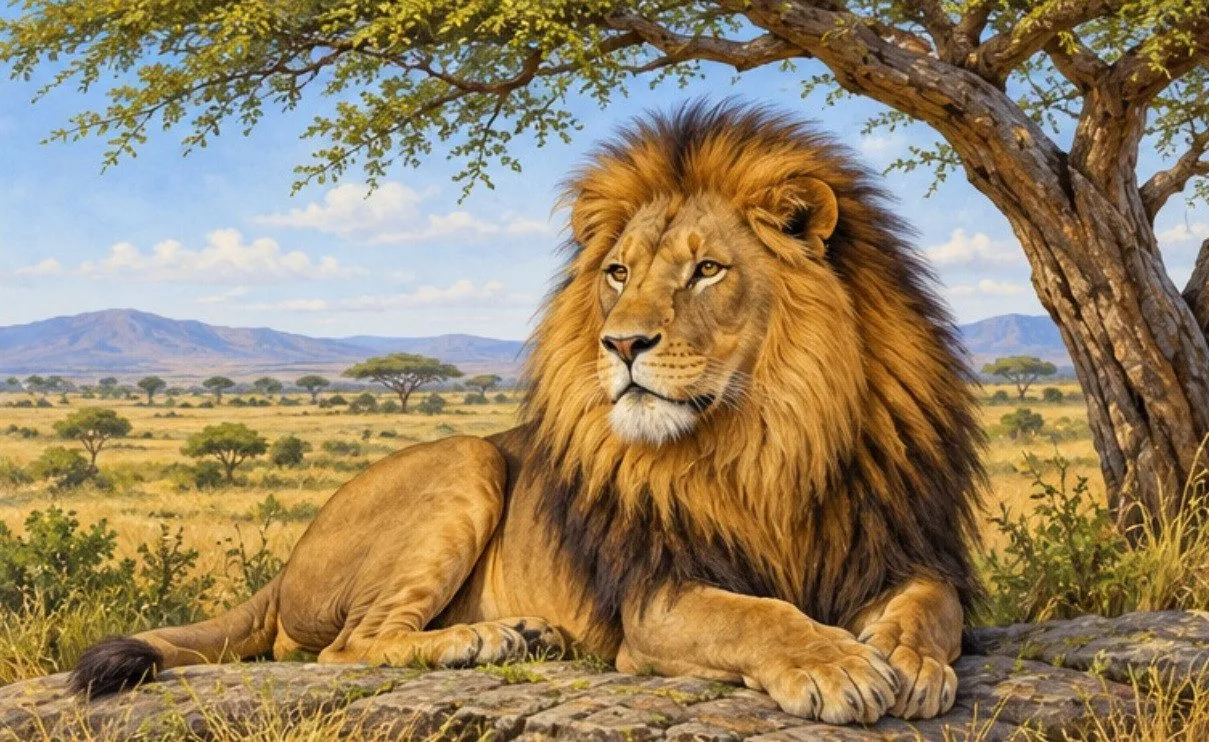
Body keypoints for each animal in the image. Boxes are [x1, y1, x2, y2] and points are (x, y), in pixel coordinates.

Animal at [71, 101, 984, 725]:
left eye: (708, 271)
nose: (622, 343)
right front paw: (835, 665)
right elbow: (755, 614)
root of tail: (287, 562)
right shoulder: (653, 599)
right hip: (466, 460)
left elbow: (928, 608)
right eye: (618, 271)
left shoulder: (899, 549)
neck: (768, 438)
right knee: (340, 646)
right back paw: (485, 639)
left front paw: (905, 660)